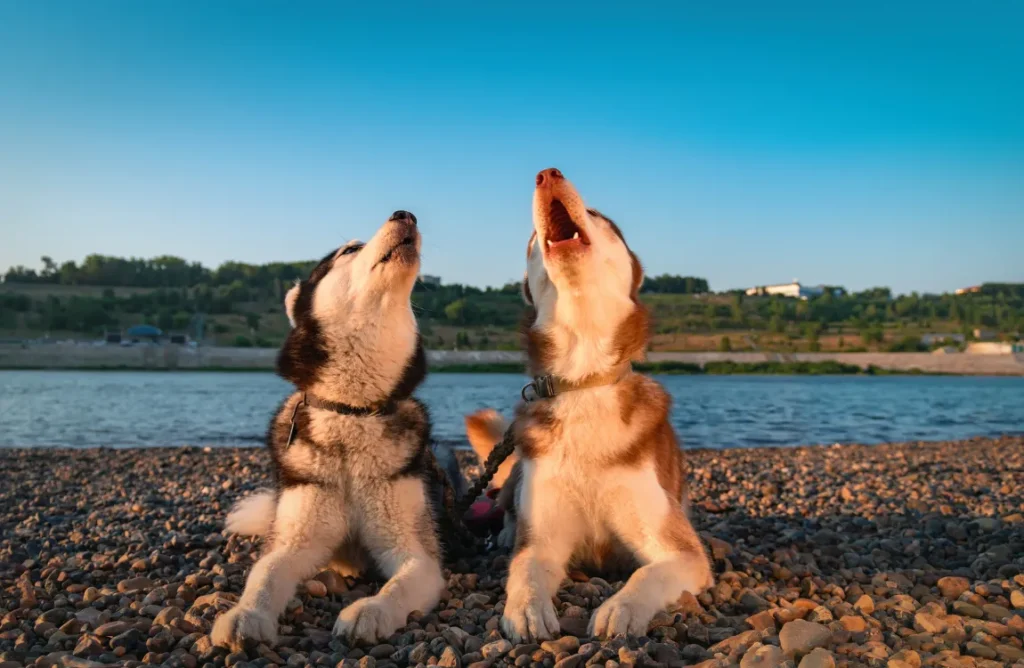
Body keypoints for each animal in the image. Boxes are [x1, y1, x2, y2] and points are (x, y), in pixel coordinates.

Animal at [209, 211, 450, 651]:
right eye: (349, 250)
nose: (405, 214)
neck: (352, 412)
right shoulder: (295, 540)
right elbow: (264, 575)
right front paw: (245, 615)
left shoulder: (418, 555)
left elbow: (399, 585)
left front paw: (369, 611)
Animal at [468, 168, 708, 643]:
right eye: (530, 239)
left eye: (598, 215)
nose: (547, 174)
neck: (583, 381)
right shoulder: (543, 539)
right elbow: (525, 569)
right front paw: (526, 609)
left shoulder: (683, 551)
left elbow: (648, 573)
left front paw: (621, 608)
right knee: (505, 503)